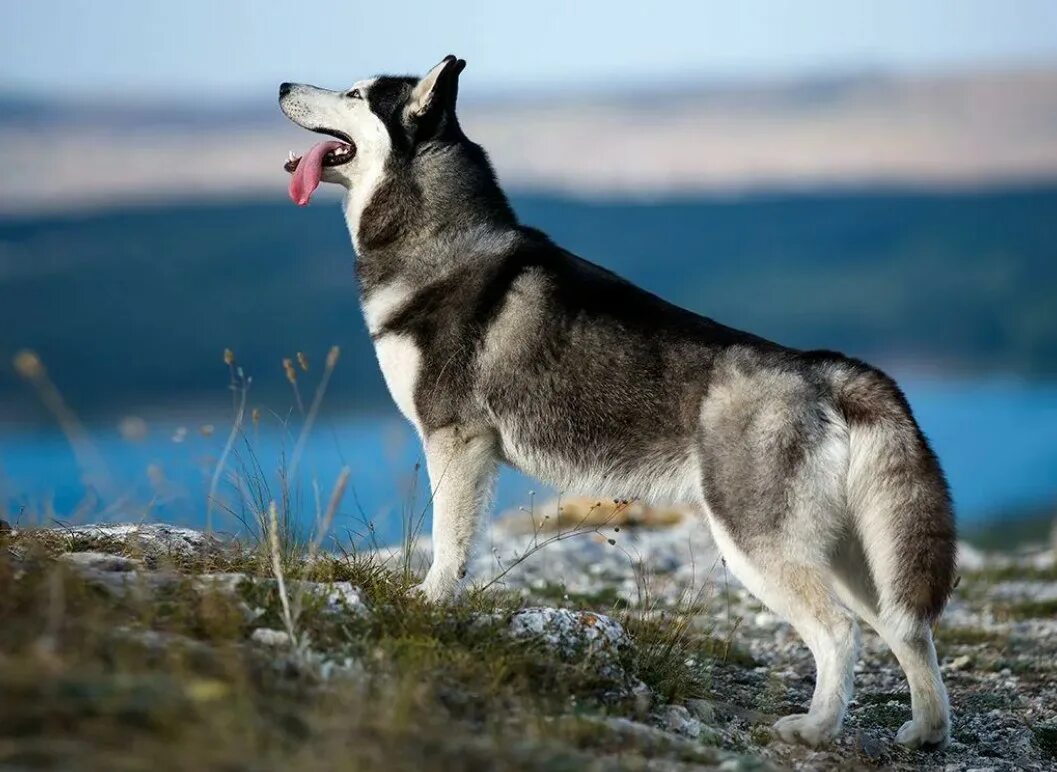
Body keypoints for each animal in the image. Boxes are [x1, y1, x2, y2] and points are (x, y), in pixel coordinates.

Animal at [281, 54, 959, 744]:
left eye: (355, 94)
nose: (282, 86)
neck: (441, 240)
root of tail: (824, 370)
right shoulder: (474, 451)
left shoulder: (456, 438)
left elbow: (448, 543)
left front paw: (430, 602)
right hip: (856, 556)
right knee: (909, 630)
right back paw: (926, 730)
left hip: (758, 543)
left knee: (840, 631)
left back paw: (816, 727)